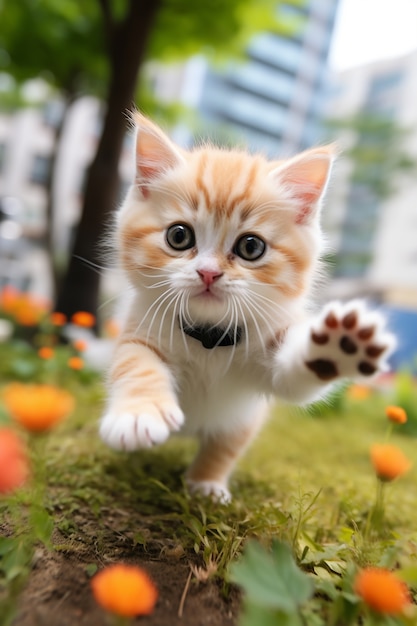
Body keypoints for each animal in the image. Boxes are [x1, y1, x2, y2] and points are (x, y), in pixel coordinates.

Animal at [99, 112, 394, 500]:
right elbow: (137, 364)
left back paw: (206, 482)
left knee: (226, 442)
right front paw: (138, 414)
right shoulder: (140, 328)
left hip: (241, 419)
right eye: (179, 236)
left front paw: (339, 347)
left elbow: (294, 380)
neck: (208, 338)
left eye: (251, 247)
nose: (208, 273)